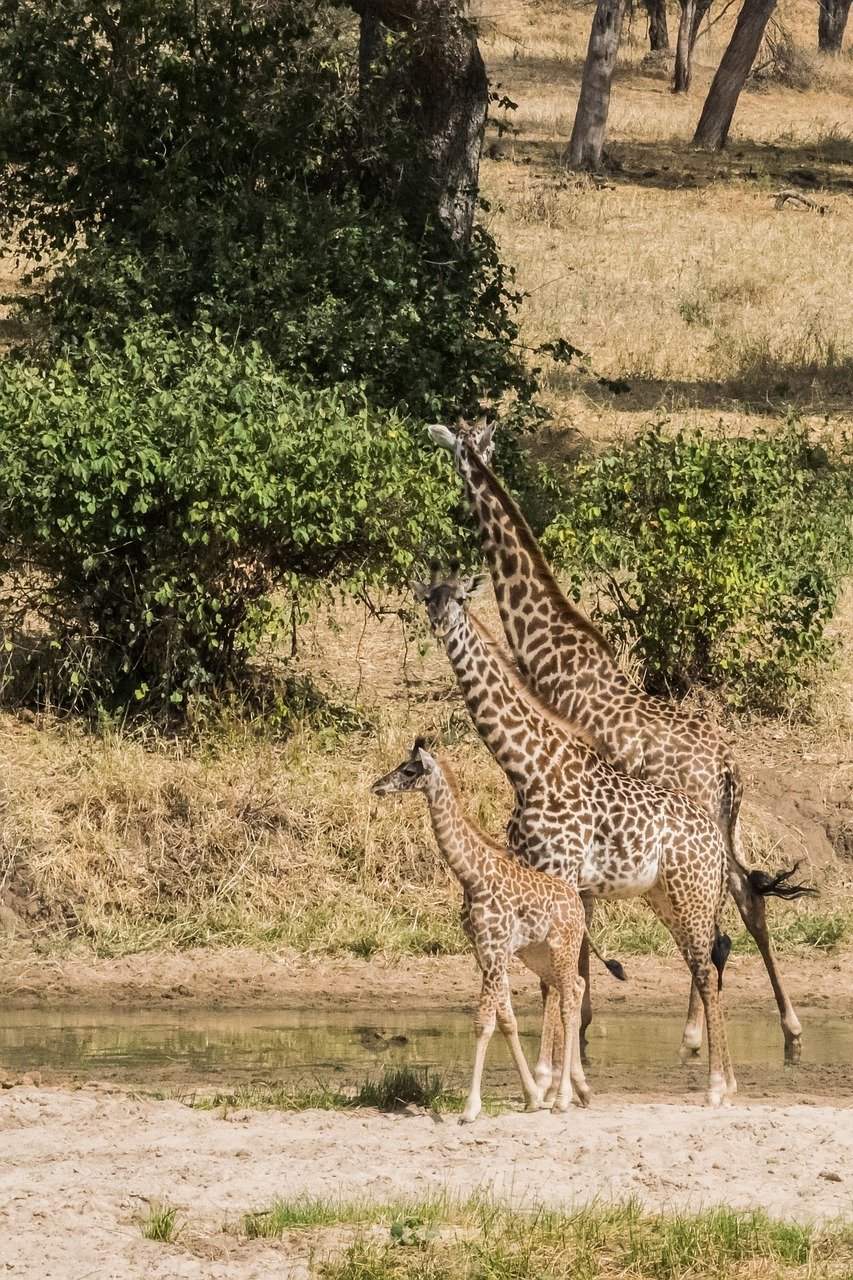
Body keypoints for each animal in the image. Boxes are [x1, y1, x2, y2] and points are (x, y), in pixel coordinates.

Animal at [371, 739, 591, 1121]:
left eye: (409, 770)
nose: (378, 786)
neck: (471, 876)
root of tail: (577, 903)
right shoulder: (484, 950)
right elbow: (506, 1018)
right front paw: (531, 1096)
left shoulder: (494, 947)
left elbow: (483, 1022)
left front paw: (470, 1108)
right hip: (537, 954)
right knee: (576, 988)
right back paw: (572, 1091)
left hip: (563, 947)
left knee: (567, 1000)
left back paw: (563, 1098)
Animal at [412, 568, 737, 1106]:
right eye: (428, 599)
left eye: (460, 597)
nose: (440, 624)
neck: (526, 767)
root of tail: (715, 835)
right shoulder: (539, 873)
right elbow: (557, 980)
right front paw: (567, 1083)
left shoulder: (560, 870)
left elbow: (556, 983)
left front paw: (548, 1082)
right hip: (665, 896)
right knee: (704, 962)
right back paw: (727, 1080)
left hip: (691, 892)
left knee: (706, 966)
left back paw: (715, 1086)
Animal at [427, 417, 815, 1060]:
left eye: (459, 452)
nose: (456, 500)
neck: (548, 651)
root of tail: (729, 770)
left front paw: (580, 1031)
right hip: (719, 831)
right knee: (747, 902)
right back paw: (786, 1027)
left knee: (718, 921)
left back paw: (698, 1033)